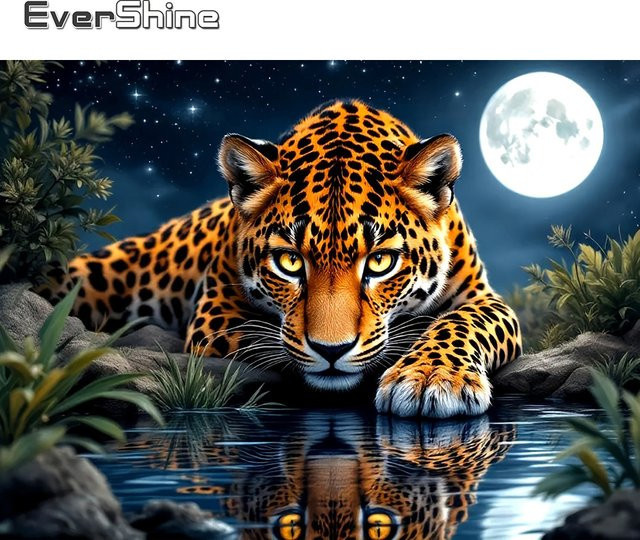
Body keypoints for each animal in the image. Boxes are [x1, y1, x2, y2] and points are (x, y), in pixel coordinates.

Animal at [38, 99, 522, 418]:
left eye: (381, 262)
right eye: (289, 262)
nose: (332, 351)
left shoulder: (483, 297)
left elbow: (462, 323)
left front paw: (431, 379)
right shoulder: (216, 317)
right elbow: (271, 340)